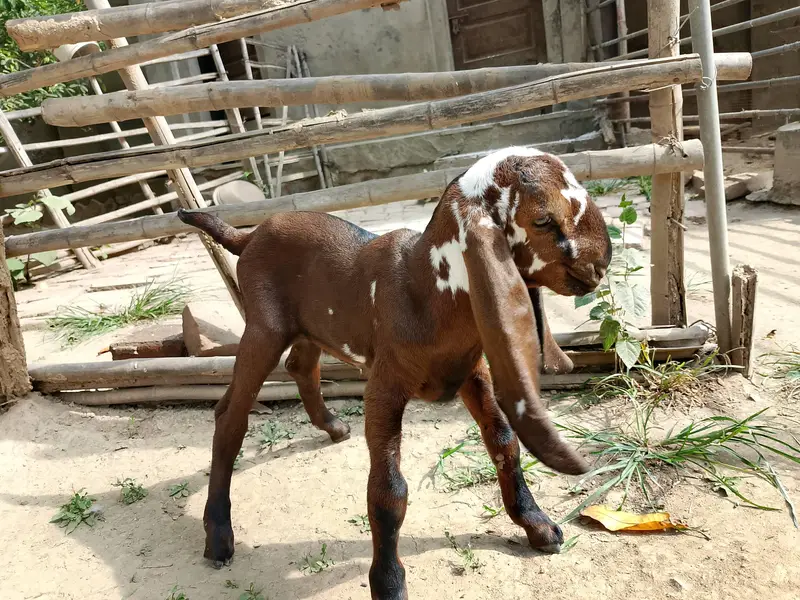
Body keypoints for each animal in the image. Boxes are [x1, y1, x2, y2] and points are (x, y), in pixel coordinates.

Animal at [178, 147, 612, 600]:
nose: (600, 264)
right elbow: (389, 491)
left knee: (300, 366)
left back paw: (332, 427)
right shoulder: (384, 388)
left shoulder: (472, 373)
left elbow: (505, 442)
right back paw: (218, 535)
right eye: (543, 219)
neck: (422, 288)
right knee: (231, 416)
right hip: (264, 328)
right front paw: (388, 582)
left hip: (312, 326)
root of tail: (248, 236)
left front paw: (537, 524)